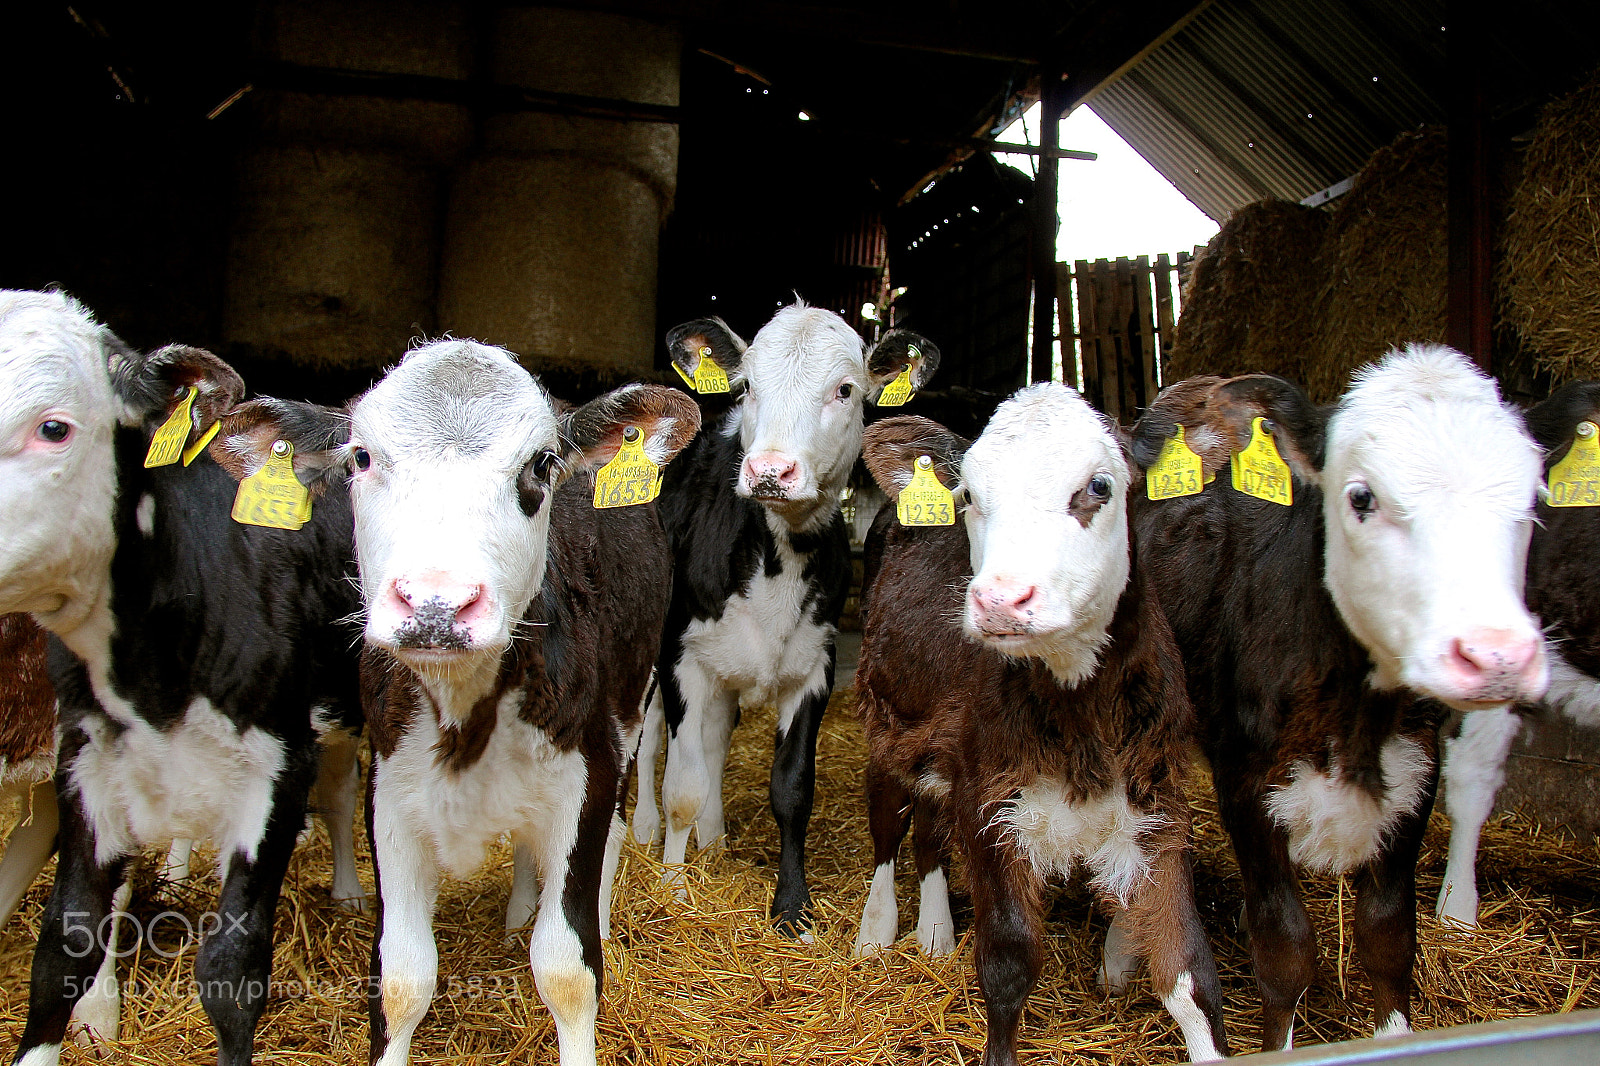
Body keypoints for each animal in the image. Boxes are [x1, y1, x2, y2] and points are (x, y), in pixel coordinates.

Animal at [0, 289, 366, 1066]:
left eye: (54, 427)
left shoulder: (279, 767)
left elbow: (233, 967)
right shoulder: (84, 761)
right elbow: (62, 948)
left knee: (346, 794)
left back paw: (352, 890)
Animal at [217, 339, 700, 1066]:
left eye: (541, 464)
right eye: (361, 457)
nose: (436, 604)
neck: (466, 714)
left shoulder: (582, 779)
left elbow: (567, 968)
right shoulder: (390, 793)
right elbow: (401, 977)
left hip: (631, 709)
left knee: (613, 834)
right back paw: (516, 913)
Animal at [628, 301, 937, 934]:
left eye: (845, 389)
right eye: (747, 386)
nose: (771, 469)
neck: (776, 558)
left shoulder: (814, 665)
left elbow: (792, 790)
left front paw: (792, 906)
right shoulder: (682, 657)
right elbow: (682, 786)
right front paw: (672, 889)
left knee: (715, 741)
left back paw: (714, 843)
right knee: (650, 743)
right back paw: (645, 831)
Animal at [851, 384, 1230, 1066]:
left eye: (1100, 486)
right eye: (969, 494)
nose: (1001, 599)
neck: (1079, 715)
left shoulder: (1159, 805)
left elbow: (1190, 975)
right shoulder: (989, 802)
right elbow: (1006, 966)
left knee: (929, 830)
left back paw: (935, 931)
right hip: (889, 718)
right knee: (890, 819)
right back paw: (879, 928)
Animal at [1128, 345, 1548, 1051]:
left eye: (1531, 502)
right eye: (1362, 496)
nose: (1495, 654)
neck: (1354, 716)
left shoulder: (1415, 770)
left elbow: (1388, 939)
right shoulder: (1246, 784)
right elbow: (1286, 949)